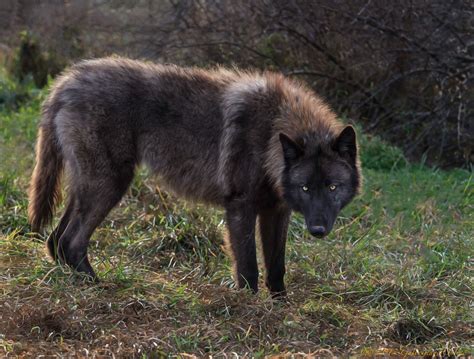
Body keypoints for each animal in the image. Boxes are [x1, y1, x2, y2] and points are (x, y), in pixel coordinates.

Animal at [27, 57, 362, 296]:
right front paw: (249, 306)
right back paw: (98, 286)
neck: (271, 131)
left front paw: (280, 306)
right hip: (109, 186)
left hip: (87, 188)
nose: (317, 230)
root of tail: (66, 81)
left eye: (332, 187)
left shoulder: (276, 212)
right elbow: (248, 267)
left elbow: (276, 267)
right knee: (70, 241)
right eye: (305, 188)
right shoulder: (240, 208)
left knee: (55, 241)